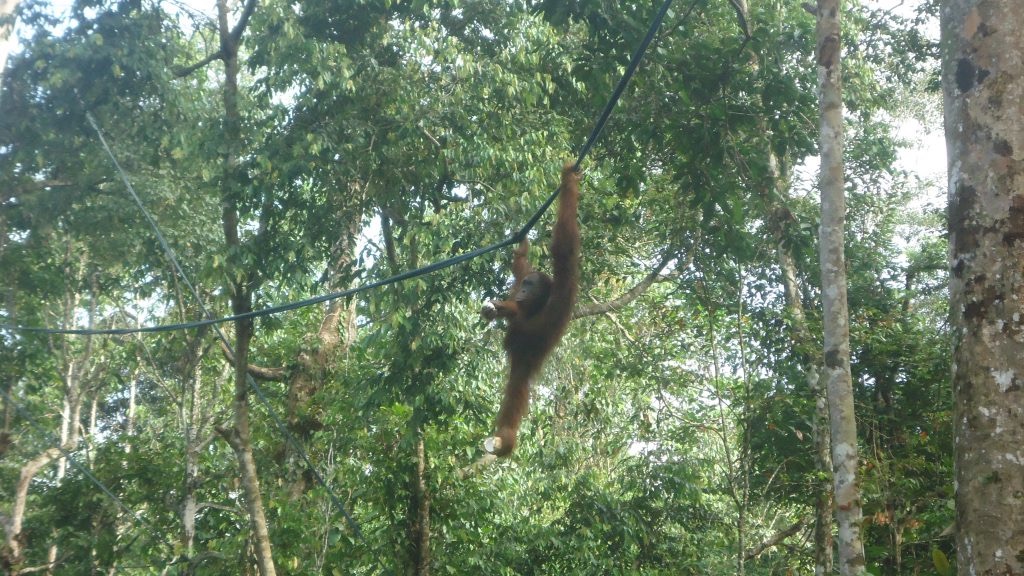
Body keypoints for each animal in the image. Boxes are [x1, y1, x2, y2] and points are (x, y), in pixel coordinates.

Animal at [480, 162, 580, 457]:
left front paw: (568, 181)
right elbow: (520, 267)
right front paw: (522, 243)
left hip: (525, 363)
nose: (523, 291)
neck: (538, 304)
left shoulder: (561, 293)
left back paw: (503, 438)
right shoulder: (522, 286)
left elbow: (564, 249)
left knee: (516, 392)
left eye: (531, 286)